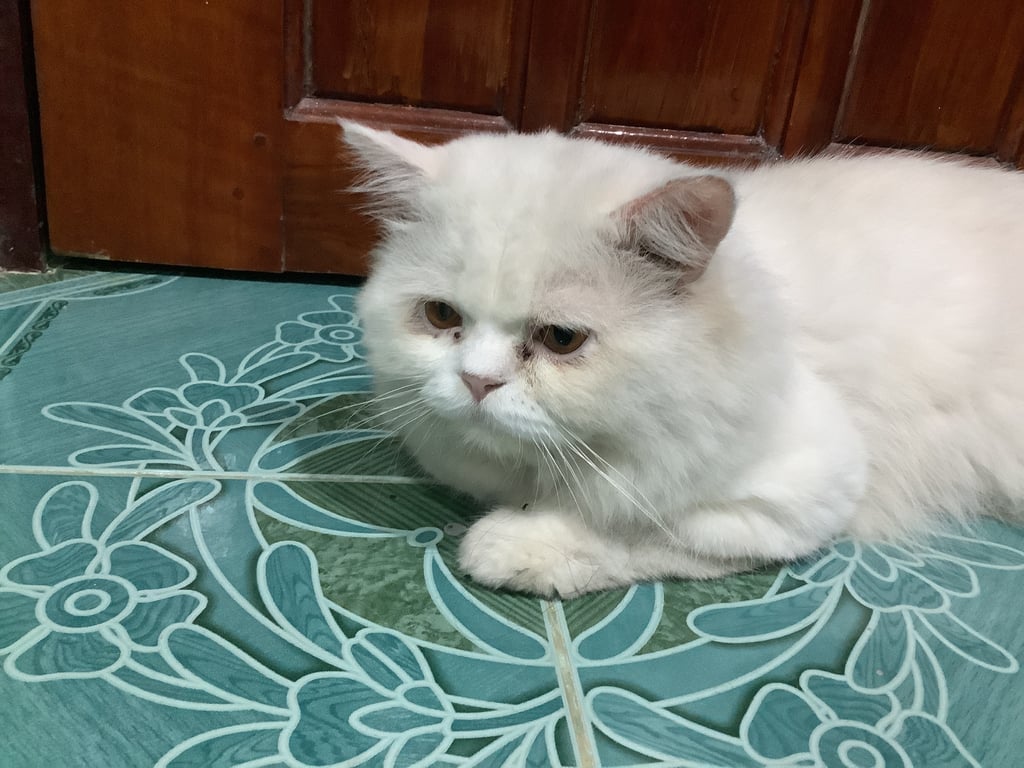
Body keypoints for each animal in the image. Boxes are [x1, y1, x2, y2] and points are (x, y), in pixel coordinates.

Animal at [342, 119, 1024, 598]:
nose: (477, 382)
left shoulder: (807, 485)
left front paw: (517, 544)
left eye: (561, 339)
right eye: (440, 317)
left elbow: (641, 524)